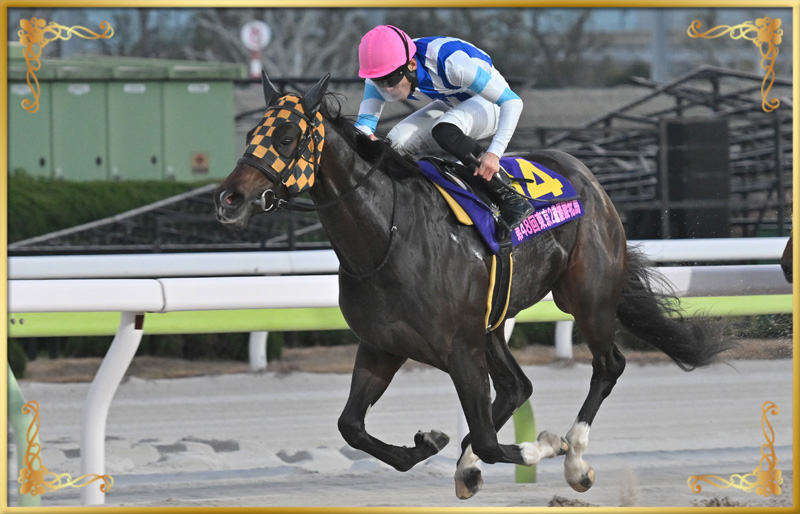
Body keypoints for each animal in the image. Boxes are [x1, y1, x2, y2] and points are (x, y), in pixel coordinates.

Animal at [214, 72, 732, 499]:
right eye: (250, 135)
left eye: (286, 137)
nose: (229, 199)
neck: (388, 235)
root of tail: (586, 175)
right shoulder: (383, 345)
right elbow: (351, 426)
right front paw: (429, 444)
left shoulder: (460, 348)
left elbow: (488, 438)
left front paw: (542, 447)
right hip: (493, 323)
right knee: (517, 387)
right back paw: (471, 465)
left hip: (586, 295)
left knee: (608, 365)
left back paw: (575, 458)